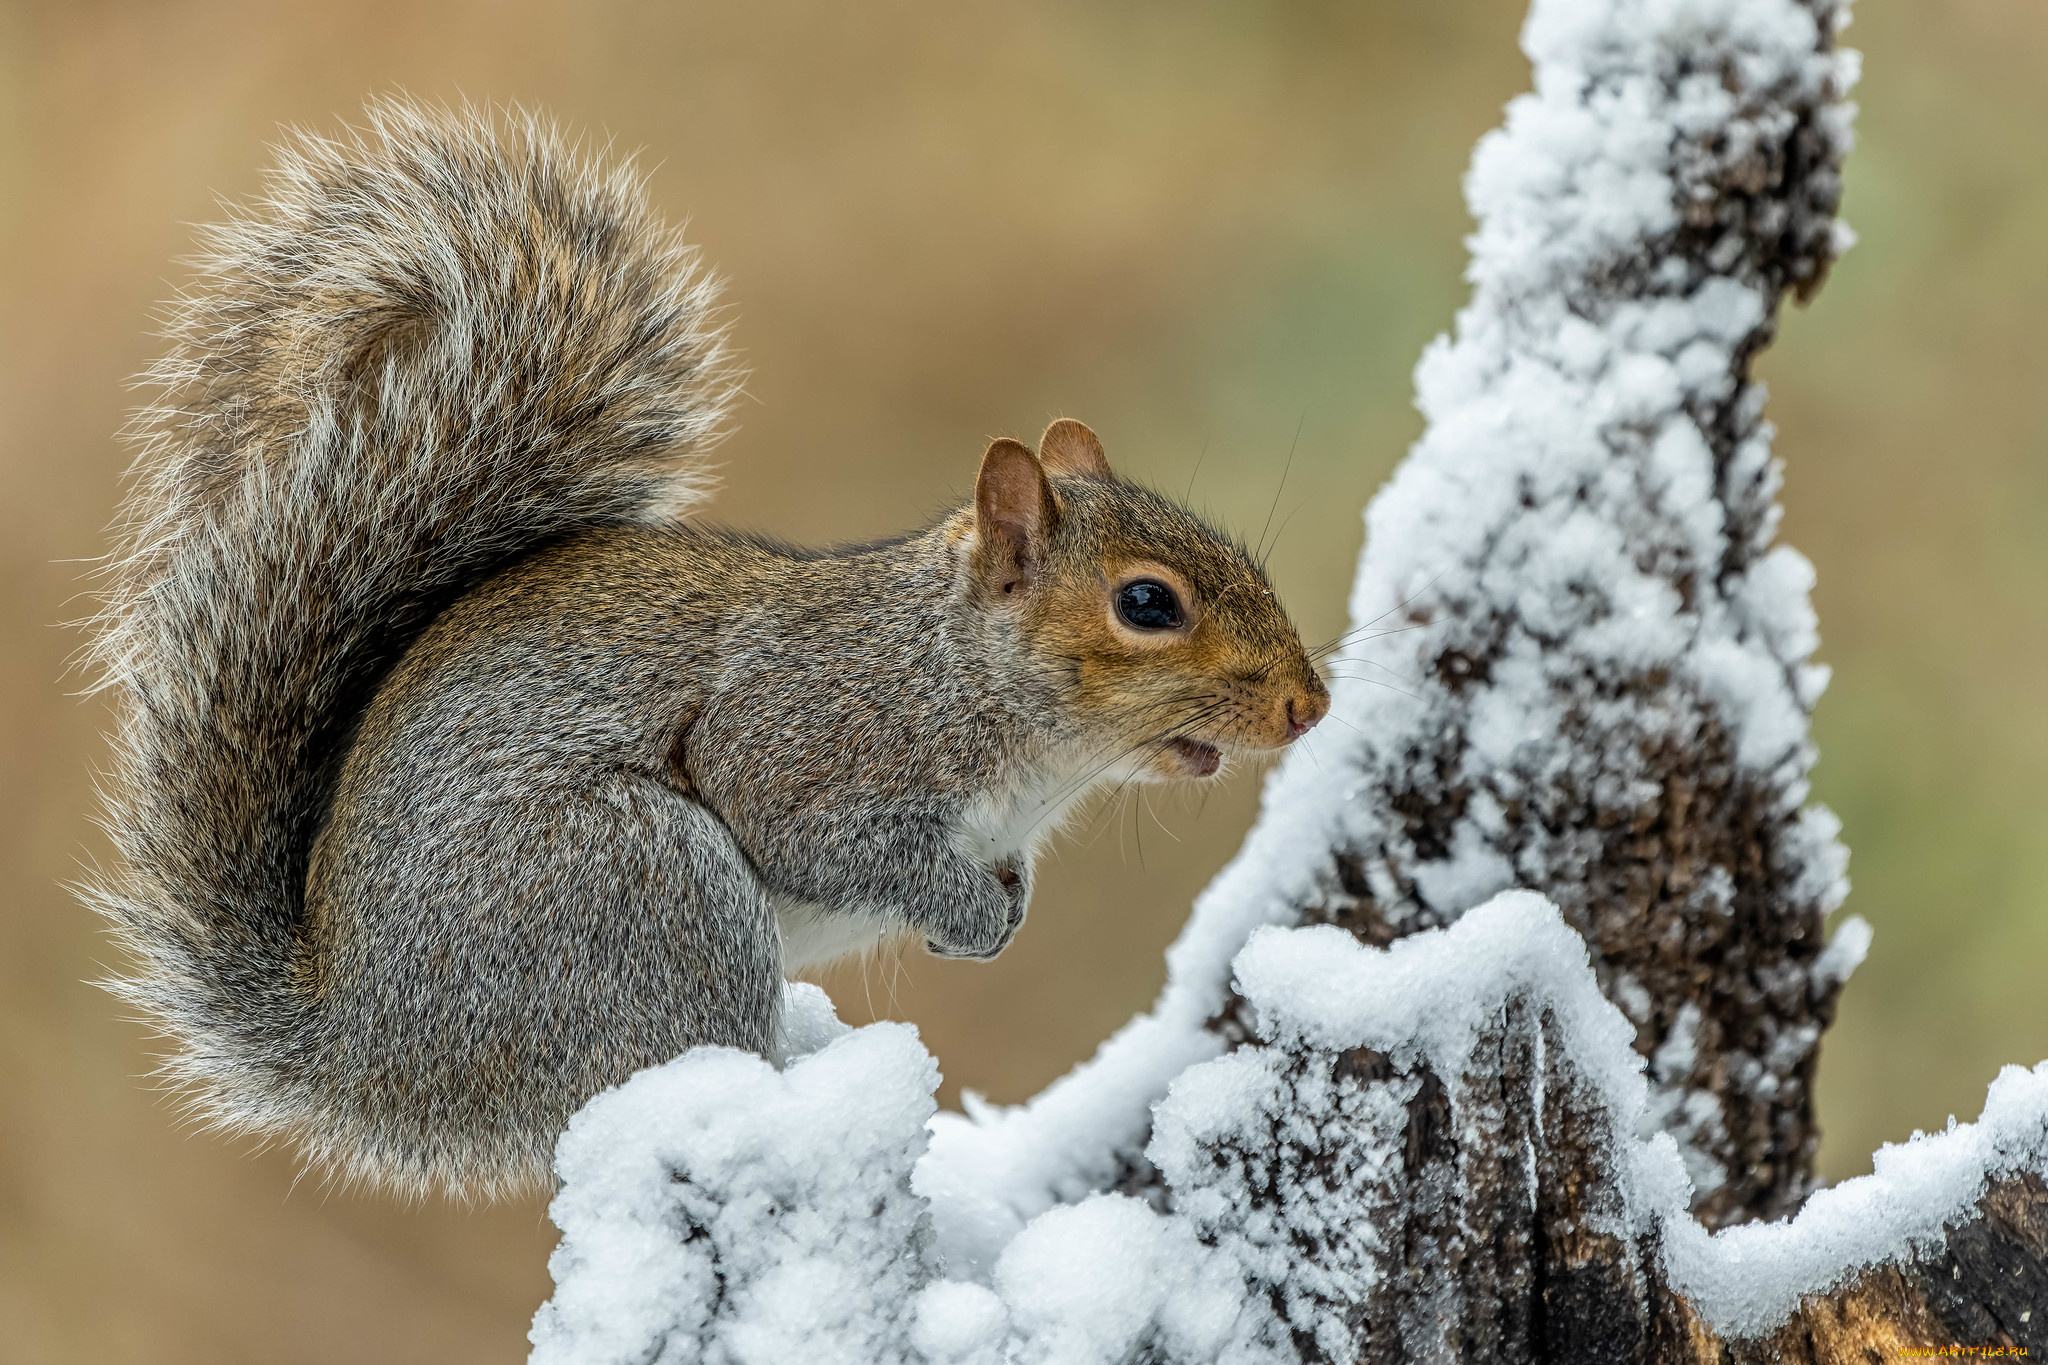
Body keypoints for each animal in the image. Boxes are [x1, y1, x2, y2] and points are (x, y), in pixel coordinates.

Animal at [83, 101, 1327, 1203]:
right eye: (1146, 604)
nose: (1308, 706)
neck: (966, 683)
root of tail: (367, 1060)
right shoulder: (808, 743)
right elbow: (829, 841)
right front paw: (971, 913)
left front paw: (1007, 903)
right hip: (644, 888)